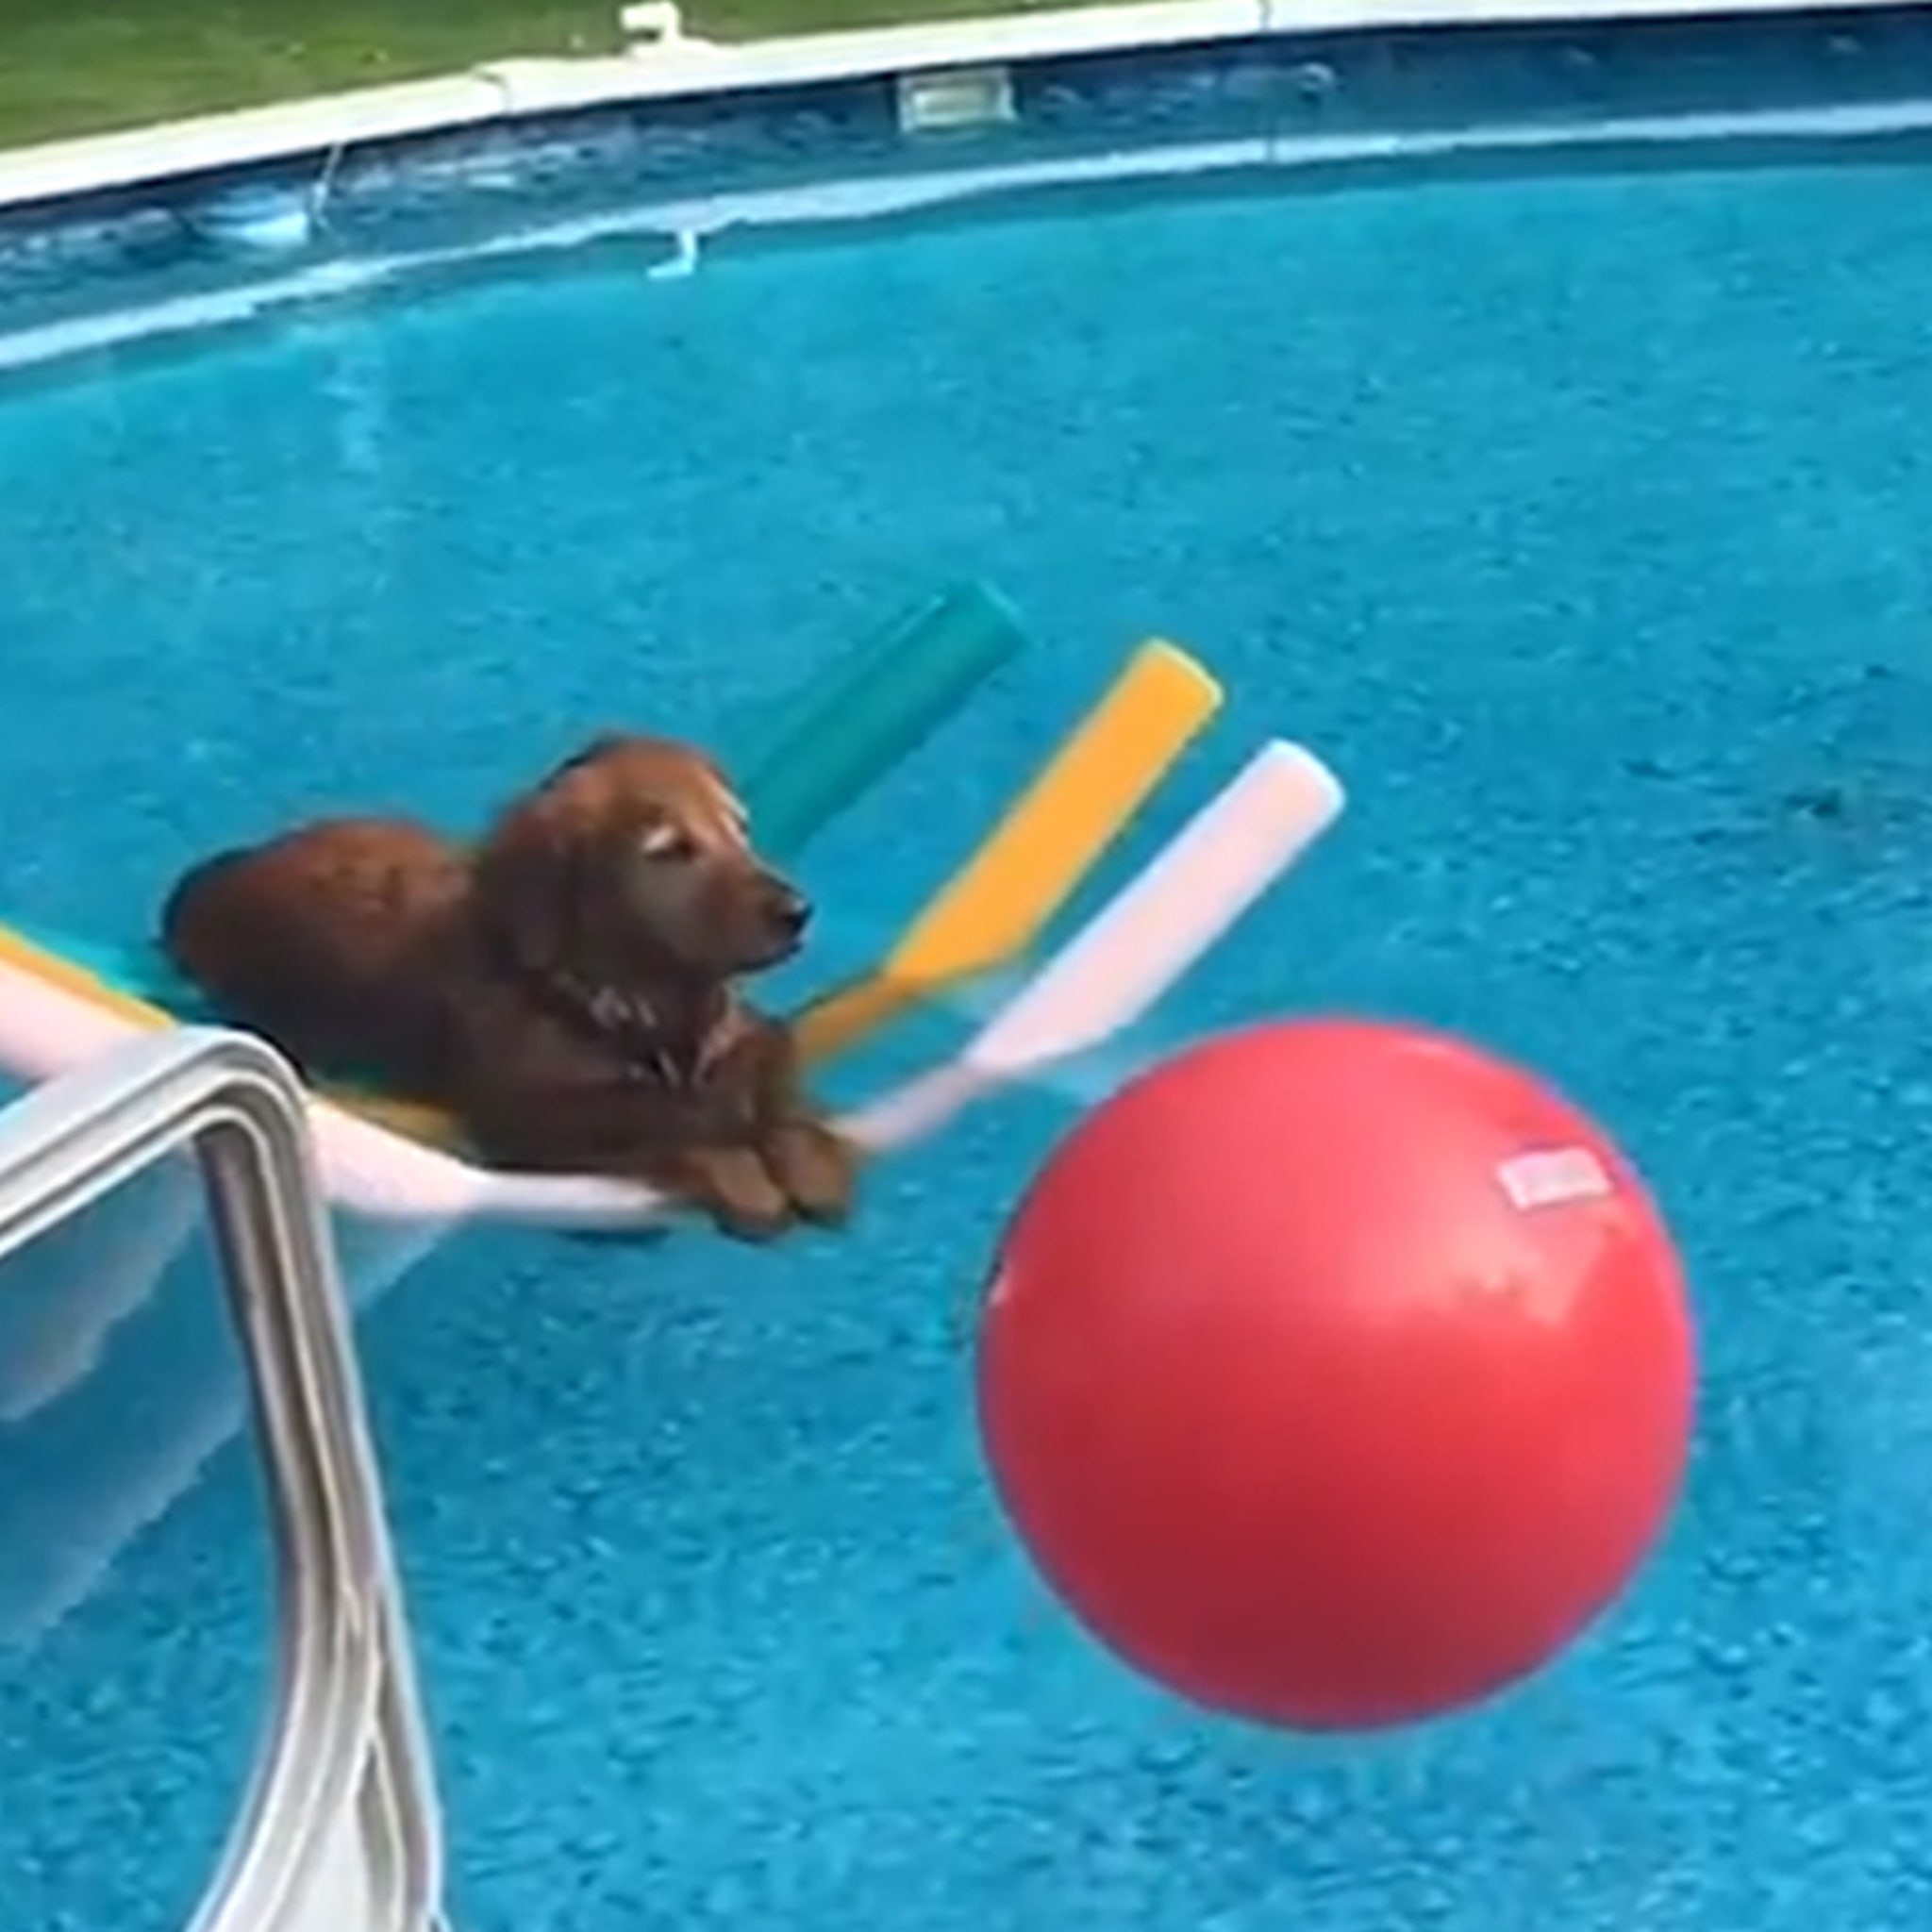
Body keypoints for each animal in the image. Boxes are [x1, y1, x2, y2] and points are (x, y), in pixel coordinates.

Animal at [162, 730, 858, 1243]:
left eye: (741, 830)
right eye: (669, 849)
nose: (798, 912)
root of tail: (208, 886)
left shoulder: (741, 1028)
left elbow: (776, 1057)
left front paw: (807, 1154)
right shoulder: (525, 1123)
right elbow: (650, 1121)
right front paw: (736, 1165)